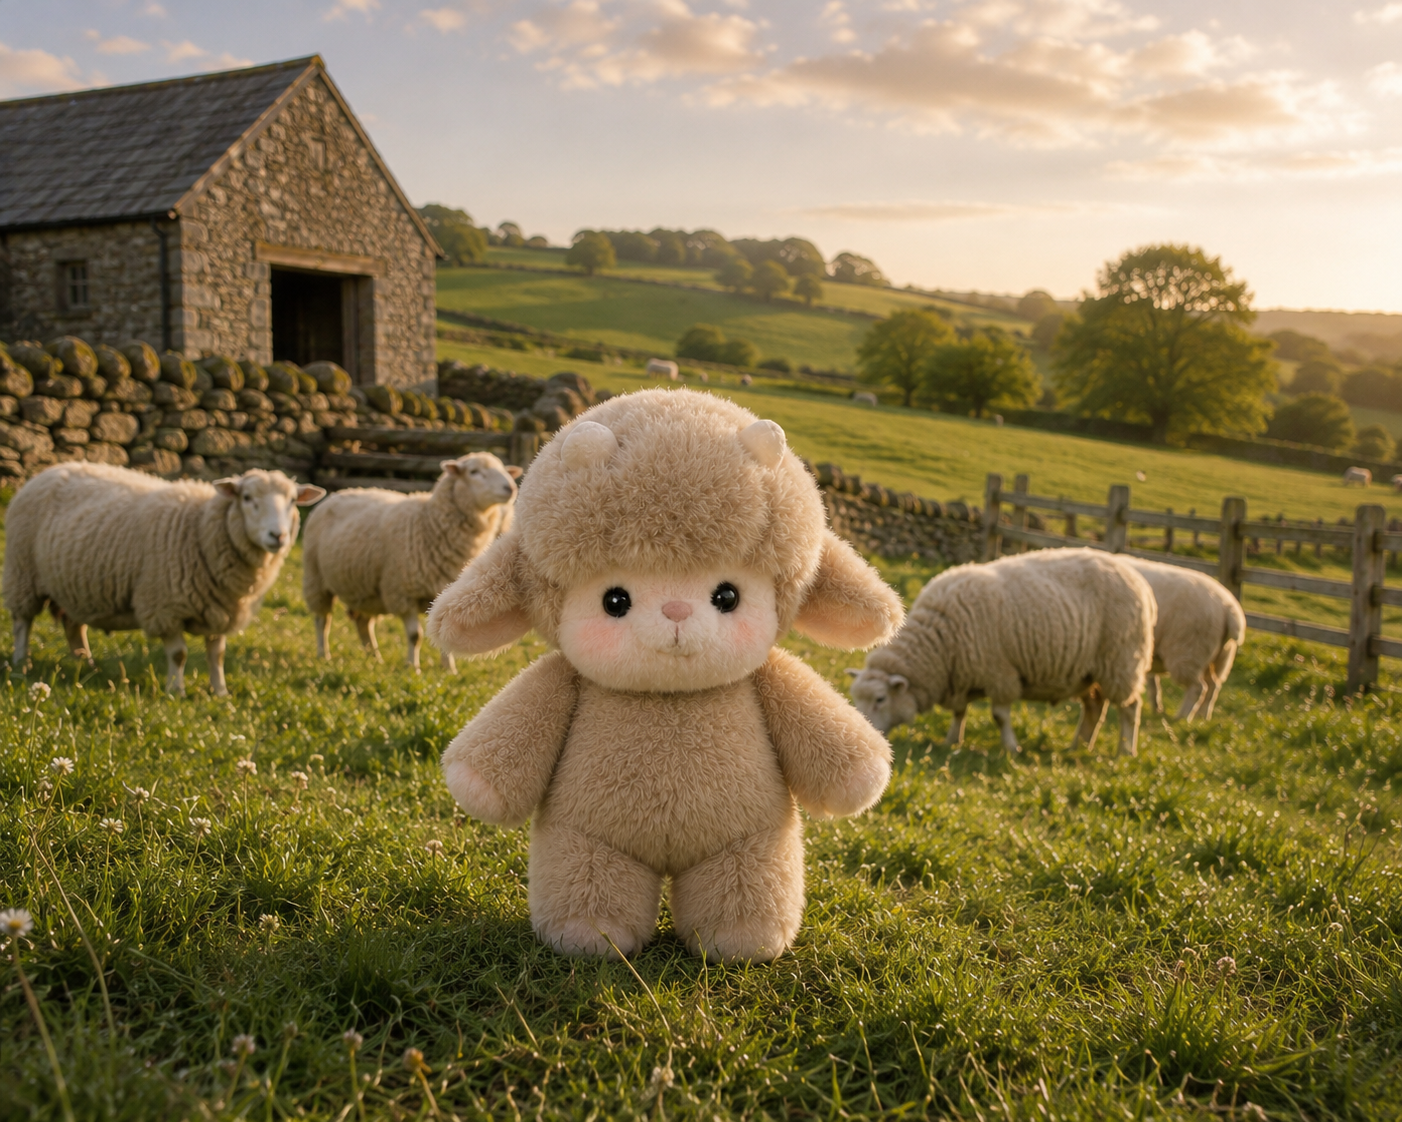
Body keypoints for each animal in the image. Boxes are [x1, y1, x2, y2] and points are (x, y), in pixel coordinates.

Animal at [4, 463, 323, 695]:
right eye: (247, 498)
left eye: (293, 501)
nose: (278, 536)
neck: (200, 528)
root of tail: (47, 470)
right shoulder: (165, 606)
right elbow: (179, 654)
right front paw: (176, 691)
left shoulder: (221, 607)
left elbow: (217, 655)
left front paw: (221, 692)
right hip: (22, 573)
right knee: (22, 623)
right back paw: (22, 663)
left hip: (72, 585)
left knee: (73, 625)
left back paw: (87, 664)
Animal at [302, 452, 518, 670]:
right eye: (474, 472)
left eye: (504, 470)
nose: (511, 488)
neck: (429, 522)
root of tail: (339, 492)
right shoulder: (403, 593)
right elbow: (415, 636)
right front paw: (413, 667)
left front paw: (449, 670)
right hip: (315, 579)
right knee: (323, 620)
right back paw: (323, 654)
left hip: (365, 589)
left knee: (363, 622)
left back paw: (374, 658)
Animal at [847, 548, 1155, 756]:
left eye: (880, 699)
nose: (861, 740)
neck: (940, 645)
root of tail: (1139, 580)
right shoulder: (961, 675)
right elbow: (959, 711)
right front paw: (952, 740)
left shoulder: (1000, 673)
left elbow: (999, 716)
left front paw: (1011, 747)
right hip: (1089, 671)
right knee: (1094, 707)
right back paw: (1078, 747)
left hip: (1122, 660)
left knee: (1130, 708)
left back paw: (1125, 751)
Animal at [1123, 557, 1245, 721]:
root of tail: (1229, 608)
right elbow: (1152, 683)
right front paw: (1156, 707)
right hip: (1217, 656)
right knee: (1213, 686)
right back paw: (1202, 717)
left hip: (1188, 651)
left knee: (1198, 687)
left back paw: (1182, 718)